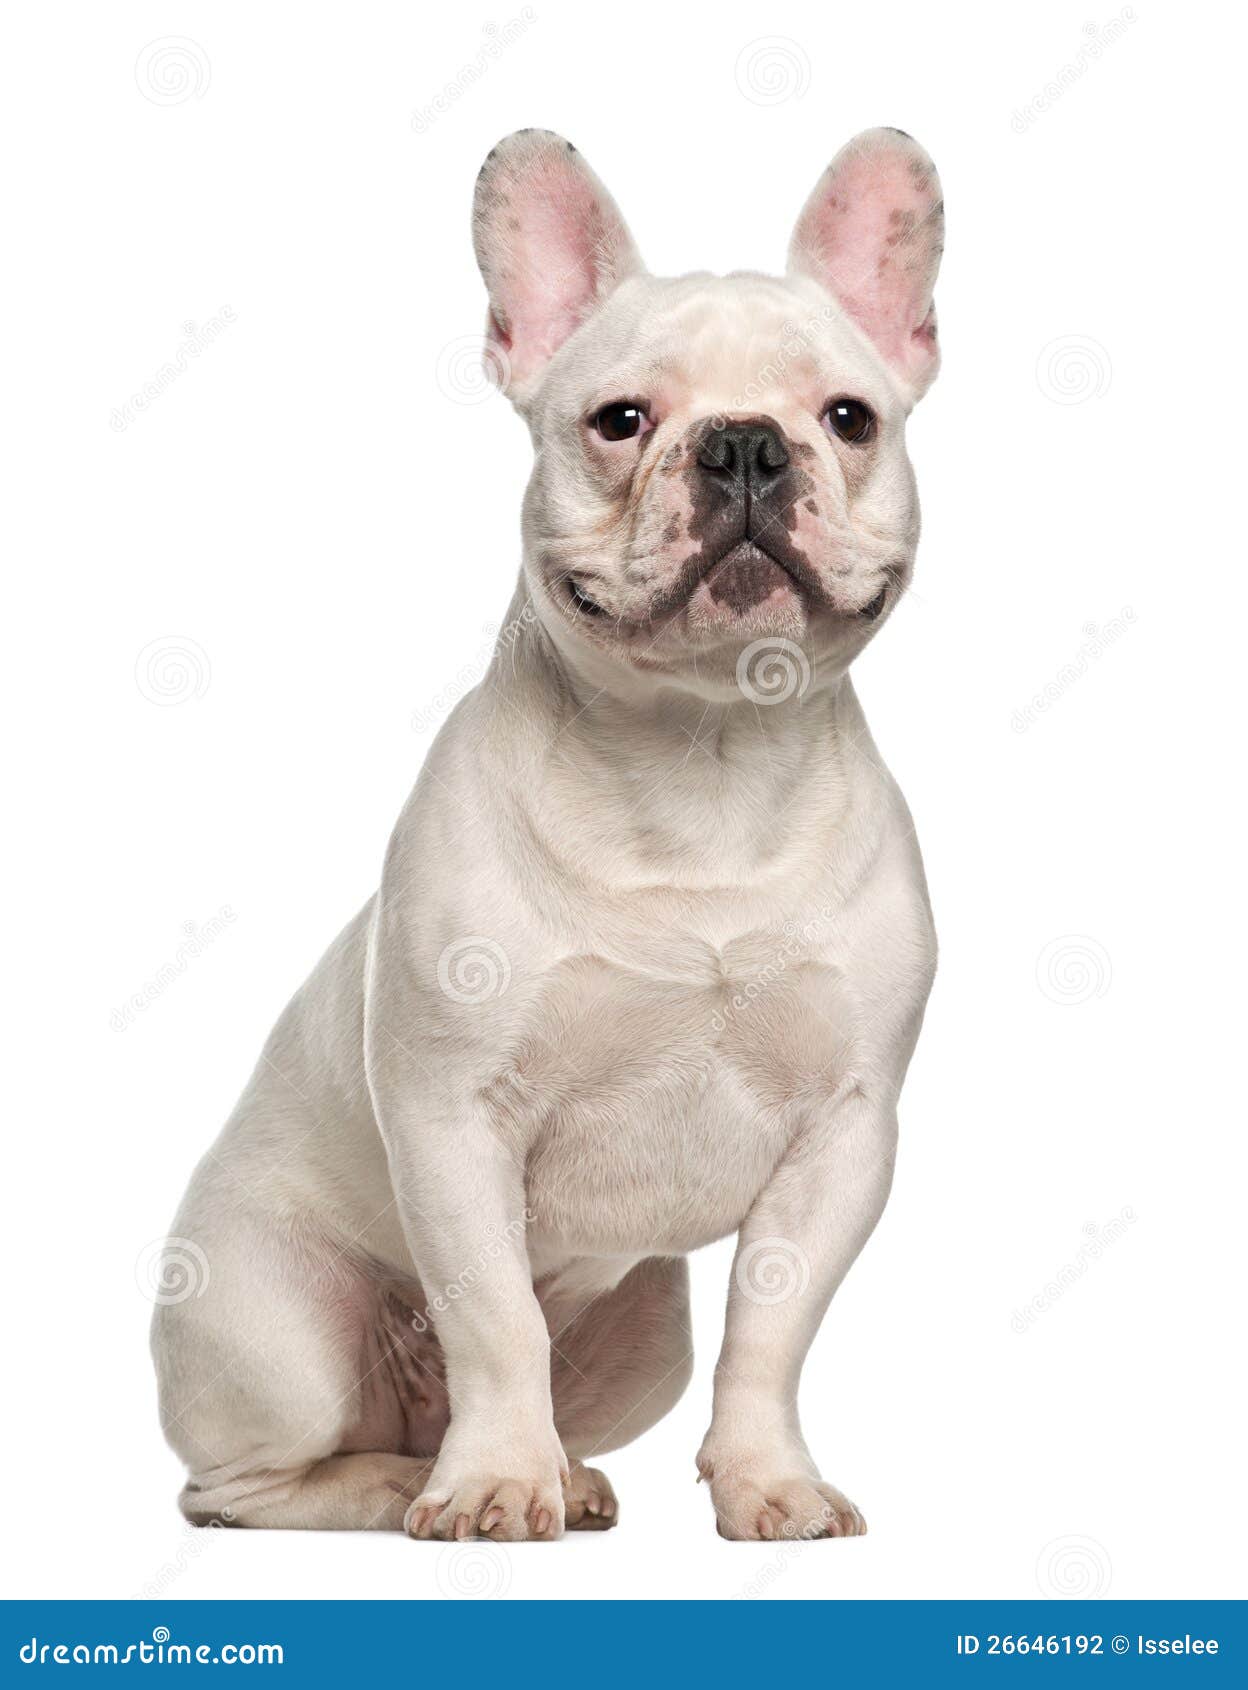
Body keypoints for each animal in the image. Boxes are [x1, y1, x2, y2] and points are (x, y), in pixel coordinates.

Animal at [150, 125, 940, 1541]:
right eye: (620, 420)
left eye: (848, 419)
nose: (746, 446)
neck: (702, 758)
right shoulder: (454, 1116)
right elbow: (492, 1316)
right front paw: (491, 1485)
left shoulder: (845, 1134)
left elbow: (773, 1326)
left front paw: (768, 1481)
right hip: (277, 1325)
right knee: (244, 1480)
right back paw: (408, 1481)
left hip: (645, 1336)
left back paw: (557, 1473)